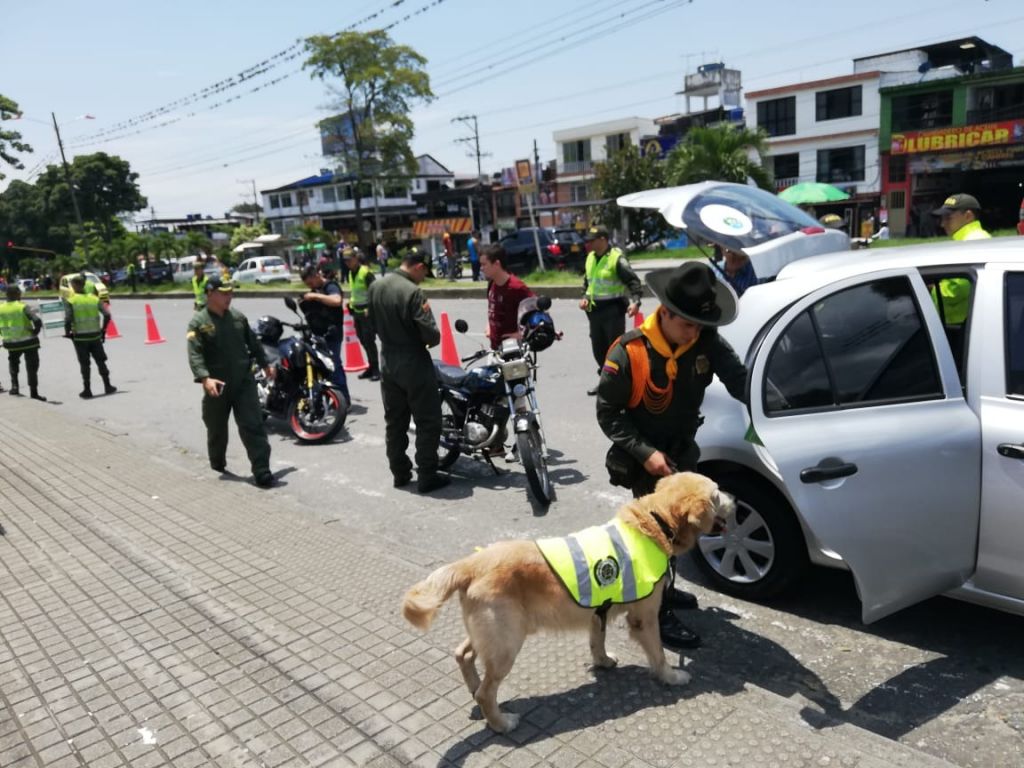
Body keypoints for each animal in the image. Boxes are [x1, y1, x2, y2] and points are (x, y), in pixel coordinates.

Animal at [401, 475, 737, 733]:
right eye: (718, 493)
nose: (736, 499)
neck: (656, 522)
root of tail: (472, 563)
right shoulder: (644, 617)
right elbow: (658, 653)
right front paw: (671, 676)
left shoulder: (599, 610)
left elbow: (597, 641)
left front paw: (603, 661)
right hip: (507, 641)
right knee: (486, 691)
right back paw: (501, 722)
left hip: (491, 634)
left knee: (462, 654)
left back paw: (473, 688)